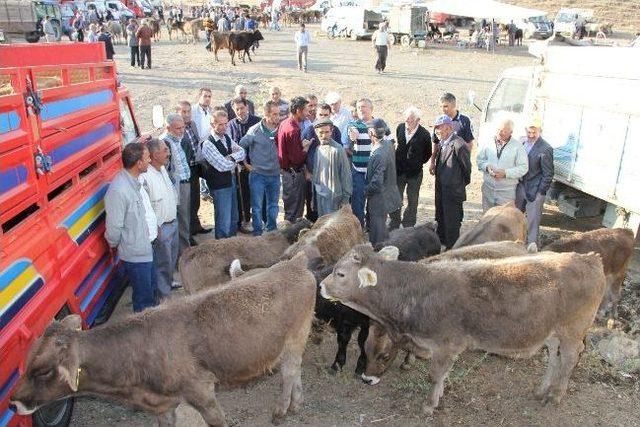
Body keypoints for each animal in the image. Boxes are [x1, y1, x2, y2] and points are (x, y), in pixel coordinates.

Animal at [11, 252, 316, 426]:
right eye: (25, 363)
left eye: (44, 370)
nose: (13, 401)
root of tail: (293, 262)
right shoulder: (162, 407)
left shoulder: (202, 391)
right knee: (296, 370)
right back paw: (297, 403)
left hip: (294, 338)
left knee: (289, 372)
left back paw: (281, 410)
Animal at [320, 246, 604, 416]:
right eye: (365, 350)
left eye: (341, 273)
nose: (321, 285)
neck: (415, 291)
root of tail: (588, 258)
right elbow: (442, 376)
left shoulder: (445, 345)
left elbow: (435, 375)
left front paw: (429, 405)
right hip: (553, 334)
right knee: (555, 359)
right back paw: (542, 390)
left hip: (572, 332)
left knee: (569, 360)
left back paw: (555, 396)